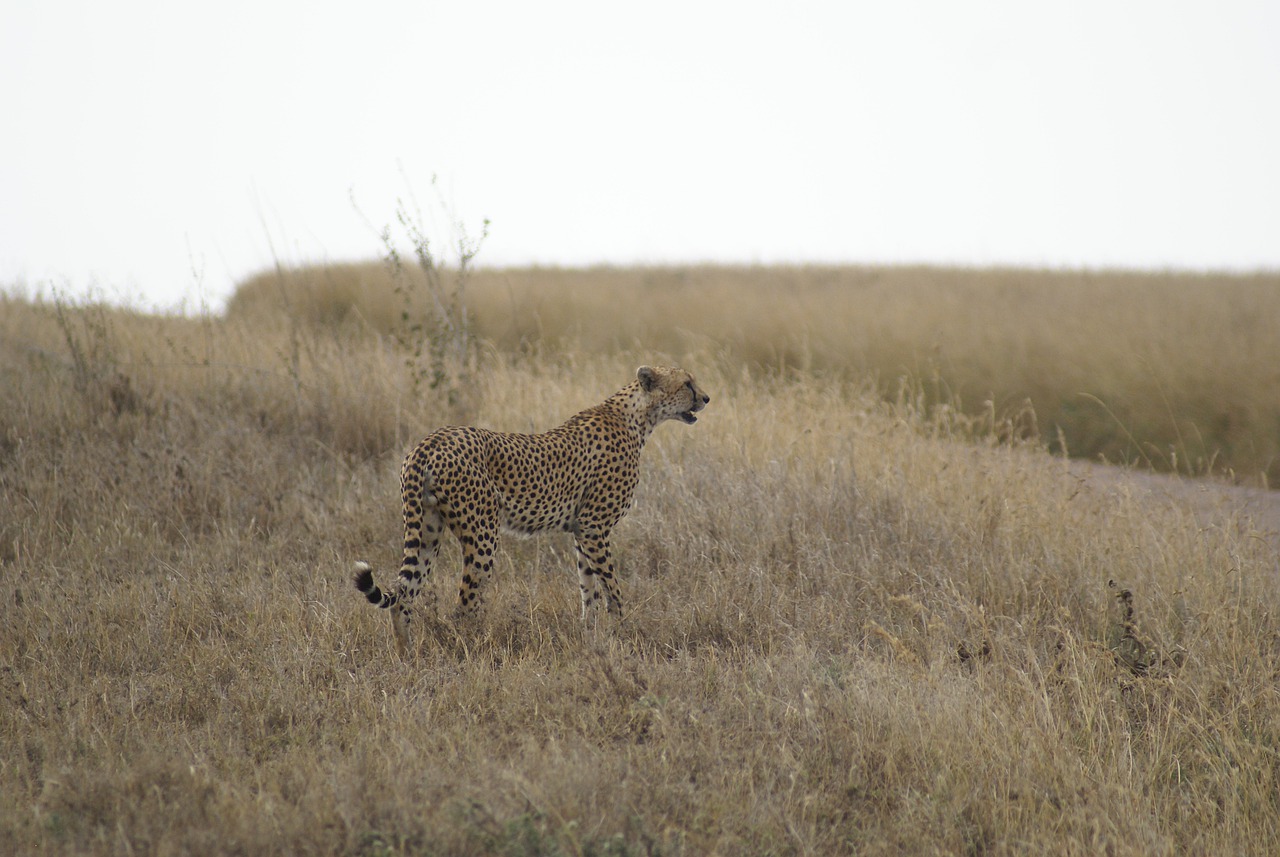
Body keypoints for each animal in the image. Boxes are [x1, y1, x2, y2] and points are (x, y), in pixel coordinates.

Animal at [353, 365, 710, 655]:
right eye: (687, 383)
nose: (707, 398)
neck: (637, 417)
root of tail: (430, 440)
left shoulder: (582, 531)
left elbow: (589, 589)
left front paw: (592, 637)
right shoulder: (595, 526)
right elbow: (613, 588)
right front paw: (621, 633)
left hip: (427, 530)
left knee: (403, 596)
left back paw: (406, 657)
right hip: (483, 536)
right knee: (464, 606)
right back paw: (475, 650)